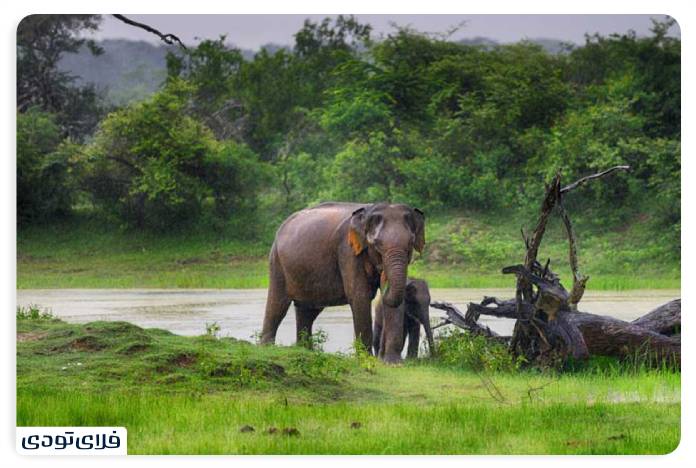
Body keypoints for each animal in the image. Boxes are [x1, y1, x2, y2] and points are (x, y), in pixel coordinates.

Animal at [260, 201, 424, 362]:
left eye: (410, 243)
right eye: (377, 244)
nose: (381, 272)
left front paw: (393, 363)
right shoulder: (348, 251)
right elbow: (359, 296)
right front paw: (366, 359)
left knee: (307, 311)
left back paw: (305, 350)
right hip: (277, 262)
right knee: (278, 305)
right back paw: (267, 347)